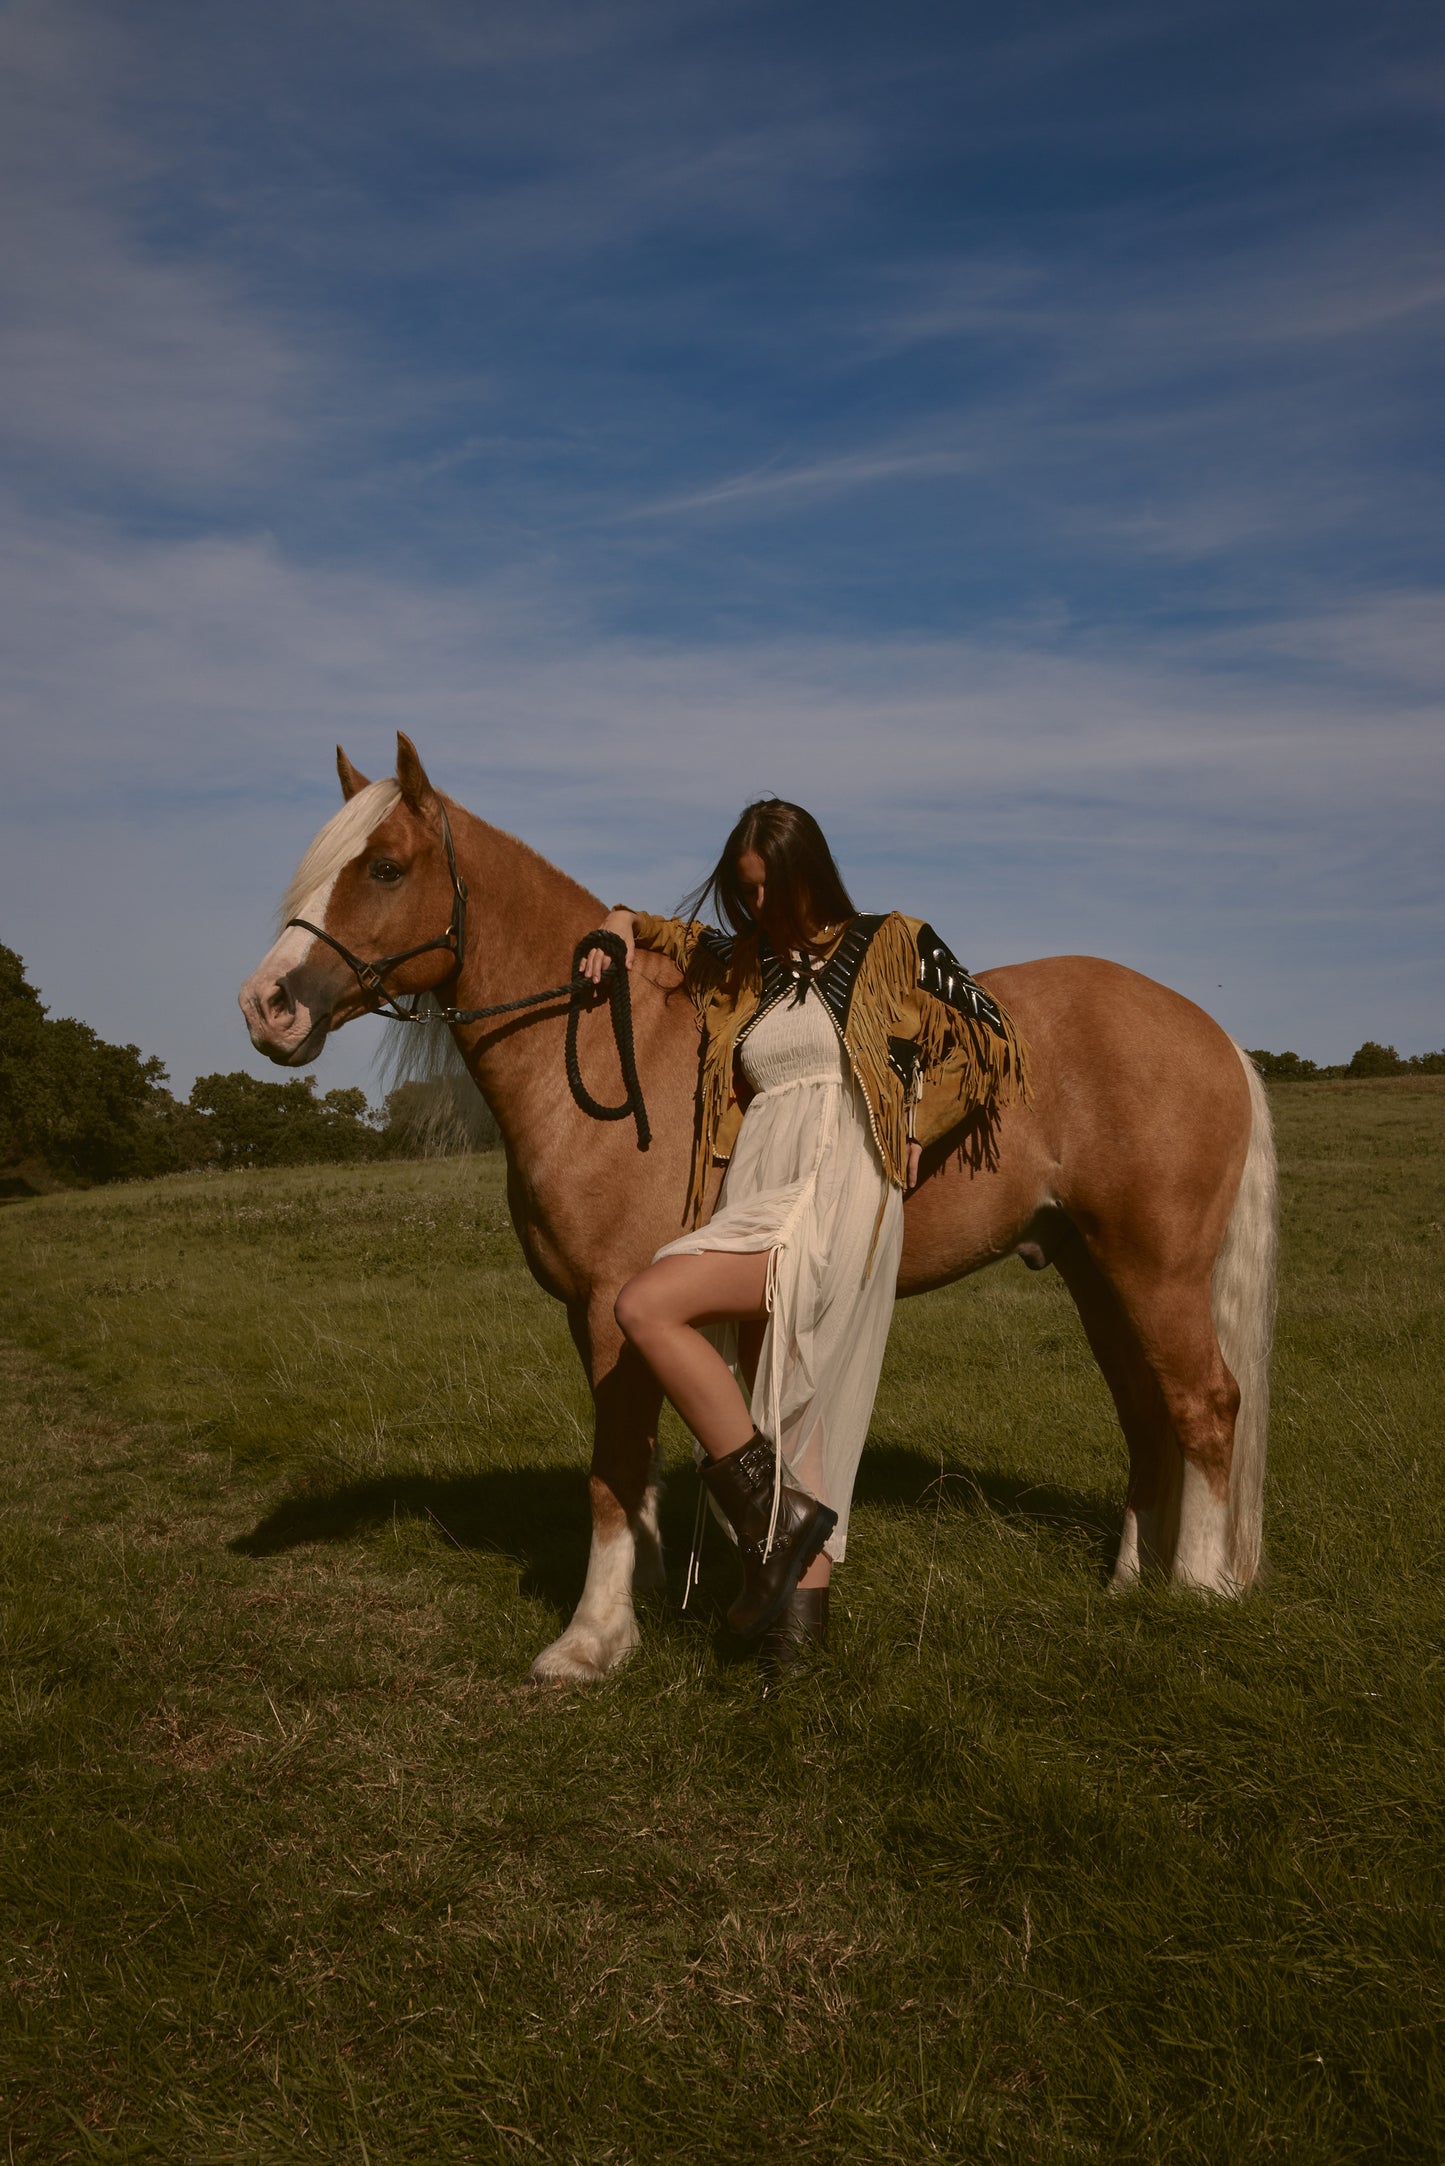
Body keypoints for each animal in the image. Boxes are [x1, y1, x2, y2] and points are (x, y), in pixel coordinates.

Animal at [237, 736, 1273, 1680]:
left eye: (383, 866)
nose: (267, 1005)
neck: (605, 1054)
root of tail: (1212, 1034)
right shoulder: (598, 1314)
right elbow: (647, 1454)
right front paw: (666, 1584)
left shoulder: (616, 1304)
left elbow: (612, 1470)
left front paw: (592, 1638)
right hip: (1095, 1272)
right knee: (1146, 1414)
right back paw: (1127, 1580)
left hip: (1155, 1270)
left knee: (1204, 1403)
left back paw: (1198, 1587)